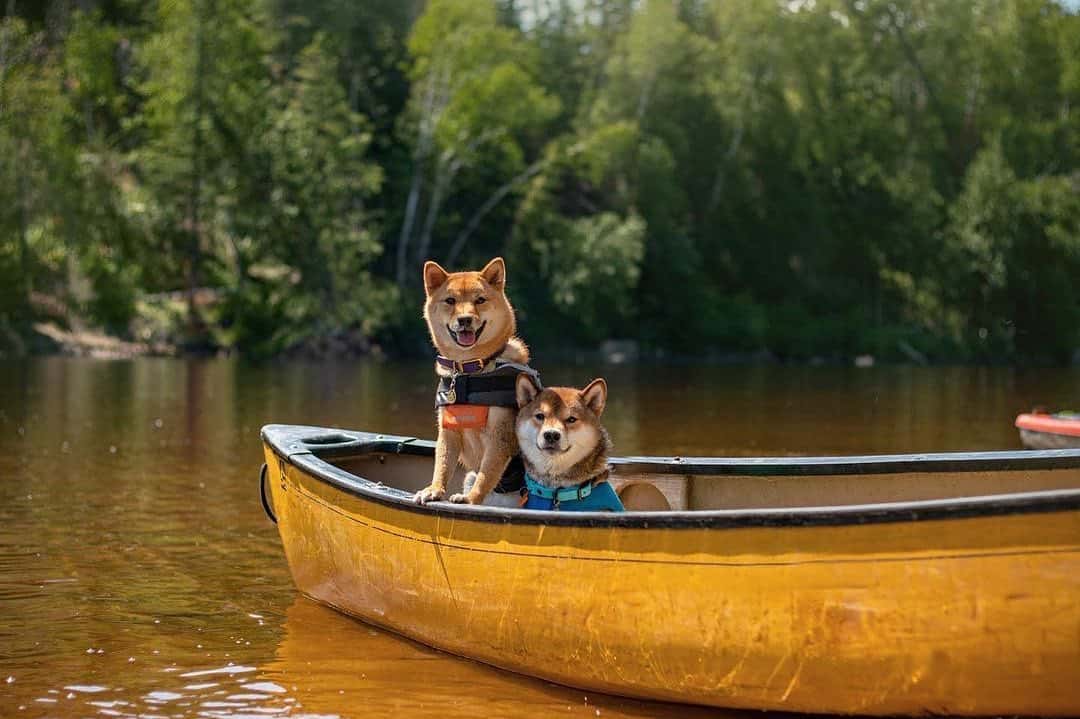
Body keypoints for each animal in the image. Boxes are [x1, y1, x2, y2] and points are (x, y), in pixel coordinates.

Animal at [412, 258, 535, 503]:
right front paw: (434, 489)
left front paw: (470, 500)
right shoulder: (448, 431)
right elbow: (442, 465)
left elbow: (486, 476)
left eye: (480, 300)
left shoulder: (500, 436)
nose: (465, 320)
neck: (470, 370)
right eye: (450, 301)